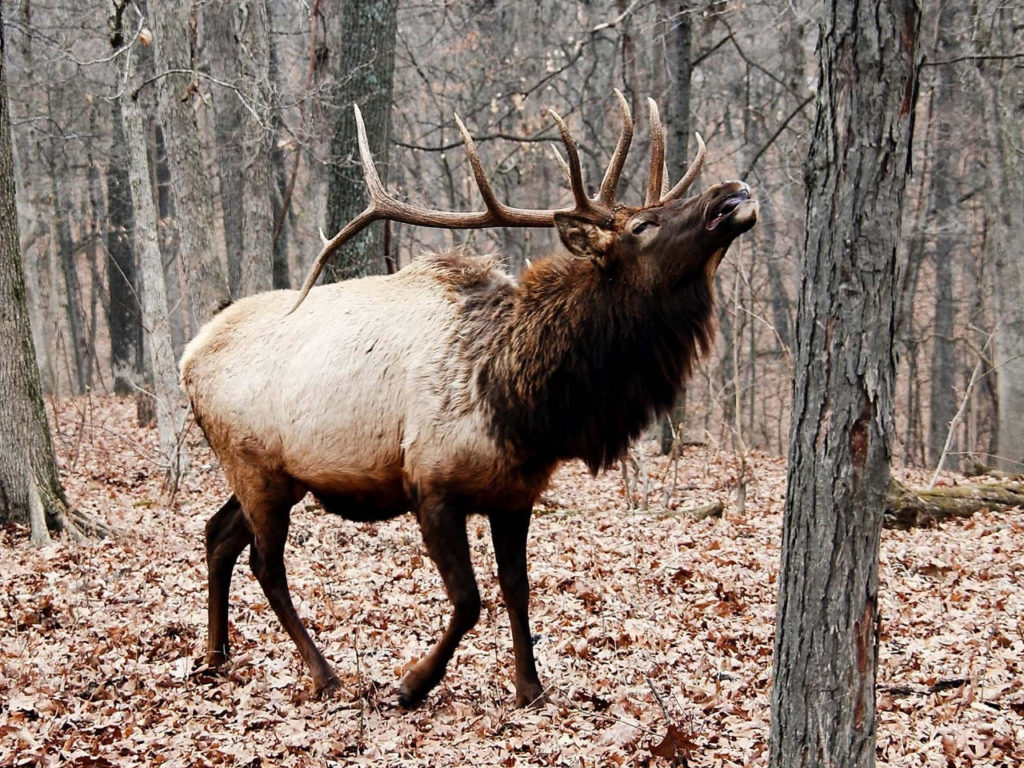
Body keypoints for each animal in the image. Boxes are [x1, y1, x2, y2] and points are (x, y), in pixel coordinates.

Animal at [180, 91, 757, 708]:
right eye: (643, 225)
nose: (733, 192)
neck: (525, 407)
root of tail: (188, 357)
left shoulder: (516, 494)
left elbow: (517, 588)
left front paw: (530, 687)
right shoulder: (430, 486)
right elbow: (469, 600)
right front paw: (412, 684)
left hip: (276, 476)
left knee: (218, 534)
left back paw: (215, 655)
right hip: (255, 465)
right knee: (266, 563)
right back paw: (323, 673)